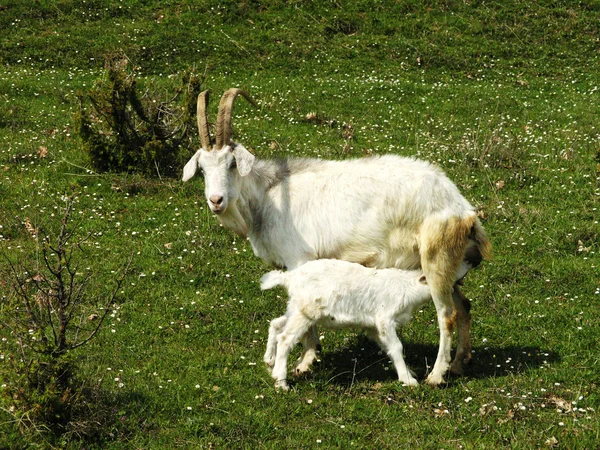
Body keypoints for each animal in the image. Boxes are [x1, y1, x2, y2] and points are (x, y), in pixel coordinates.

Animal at [183, 89, 492, 386]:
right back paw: (459, 365)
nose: (216, 200)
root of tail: (462, 209)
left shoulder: (300, 259)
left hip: (436, 259)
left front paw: (305, 361)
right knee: (464, 307)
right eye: (202, 169)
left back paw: (436, 375)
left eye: (232, 164)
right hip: (450, 266)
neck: (269, 195)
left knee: (447, 315)